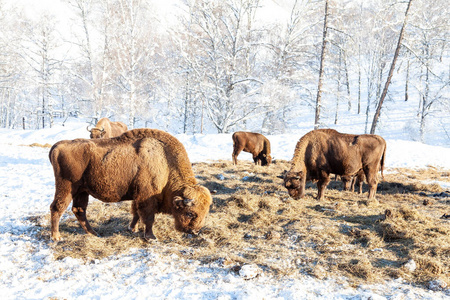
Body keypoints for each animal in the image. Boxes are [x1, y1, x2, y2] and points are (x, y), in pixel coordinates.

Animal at [48, 127, 214, 240]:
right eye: (190, 213)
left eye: (205, 211)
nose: (195, 231)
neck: (165, 161)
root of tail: (57, 146)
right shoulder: (147, 197)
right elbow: (148, 217)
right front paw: (151, 237)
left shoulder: (137, 196)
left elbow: (135, 213)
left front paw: (132, 229)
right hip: (67, 187)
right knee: (57, 207)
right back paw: (56, 237)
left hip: (82, 191)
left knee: (79, 210)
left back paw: (94, 233)